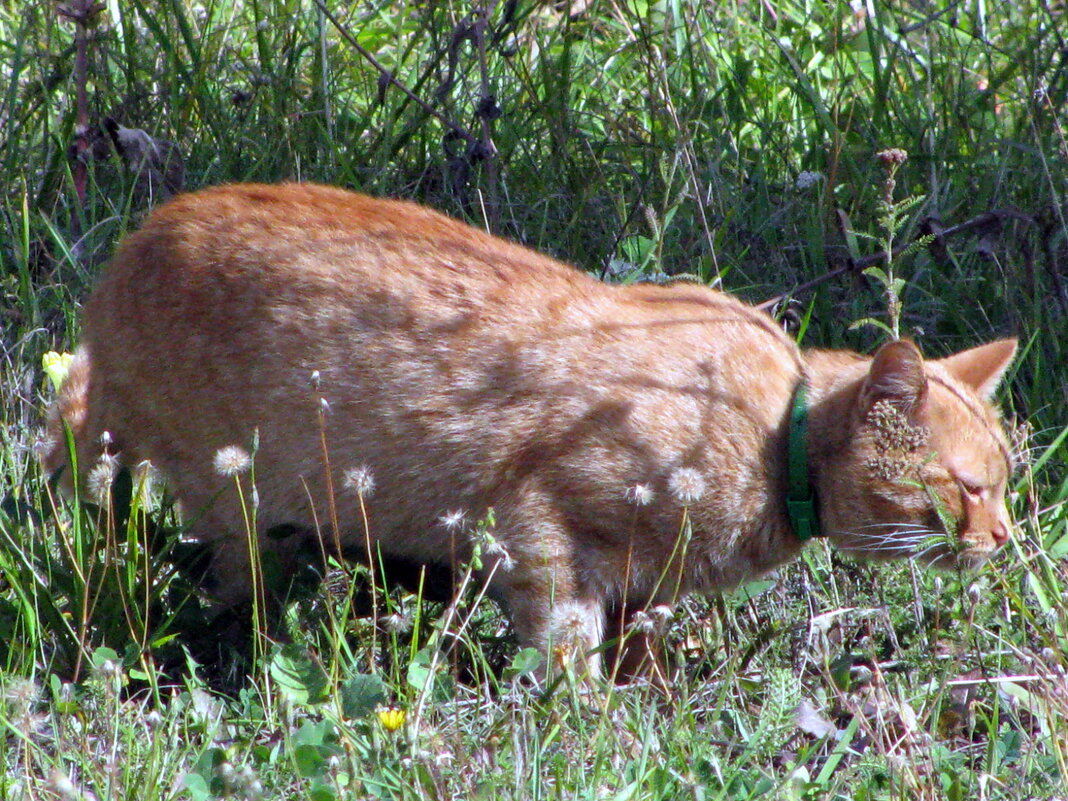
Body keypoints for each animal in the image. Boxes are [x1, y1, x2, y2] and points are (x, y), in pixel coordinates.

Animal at [41, 183, 1012, 679]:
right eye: (967, 487)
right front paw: (589, 726)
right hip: (234, 495)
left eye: (1006, 485)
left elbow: (638, 651)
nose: (1005, 538)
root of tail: (137, 241)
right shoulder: (540, 529)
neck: (777, 435)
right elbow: (566, 653)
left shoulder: (644, 585)